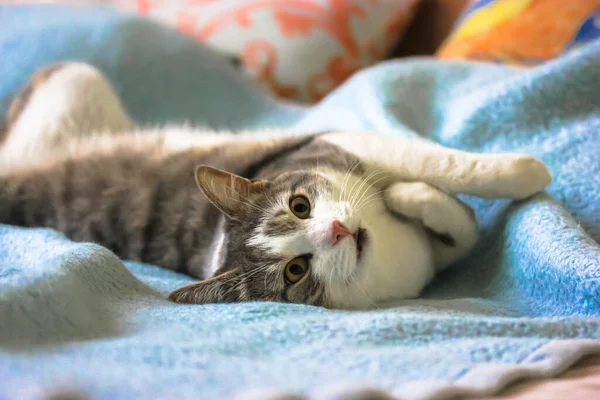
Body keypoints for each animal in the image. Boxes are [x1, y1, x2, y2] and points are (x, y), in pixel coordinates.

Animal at [0, 61, 552, 310]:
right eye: (295, 270)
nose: (338, 231)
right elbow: (460, 214)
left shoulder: (340, 140)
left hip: (79, 79)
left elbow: (443, 171)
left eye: (301, 205)